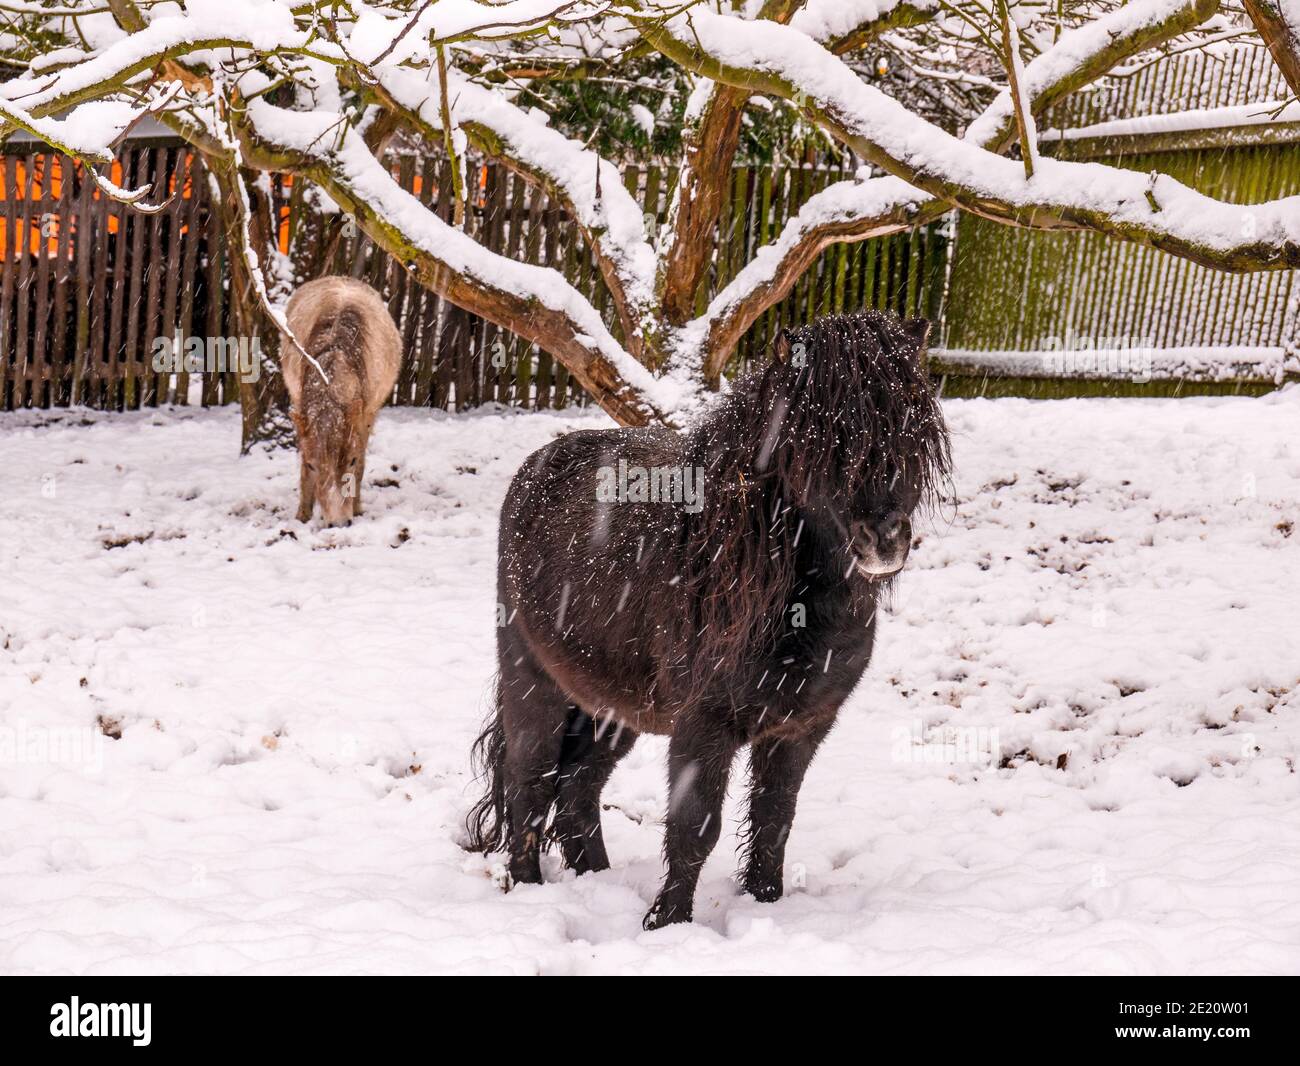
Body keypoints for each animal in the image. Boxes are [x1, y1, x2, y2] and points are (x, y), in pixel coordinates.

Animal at [283, 274, 400, 525]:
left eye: (351, 460)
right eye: (312, 465)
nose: (338, 524)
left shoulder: (364, 419)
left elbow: (362, 466)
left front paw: (356, 508)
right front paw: (302, 515)